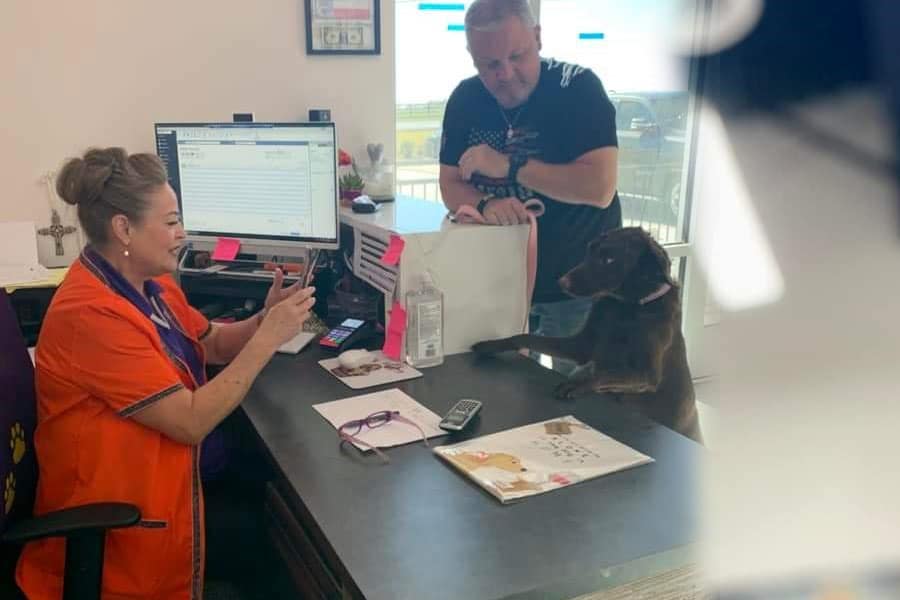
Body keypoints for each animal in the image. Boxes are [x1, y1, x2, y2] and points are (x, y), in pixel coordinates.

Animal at [472, 227, 704, 442]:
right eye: (589, 251)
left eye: (609, 259)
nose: (562, 282)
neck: (624, 307)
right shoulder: (580, 346)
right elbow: (525, 337)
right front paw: (491, 345)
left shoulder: (646, 374)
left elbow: (603, 374)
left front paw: (575, 384)